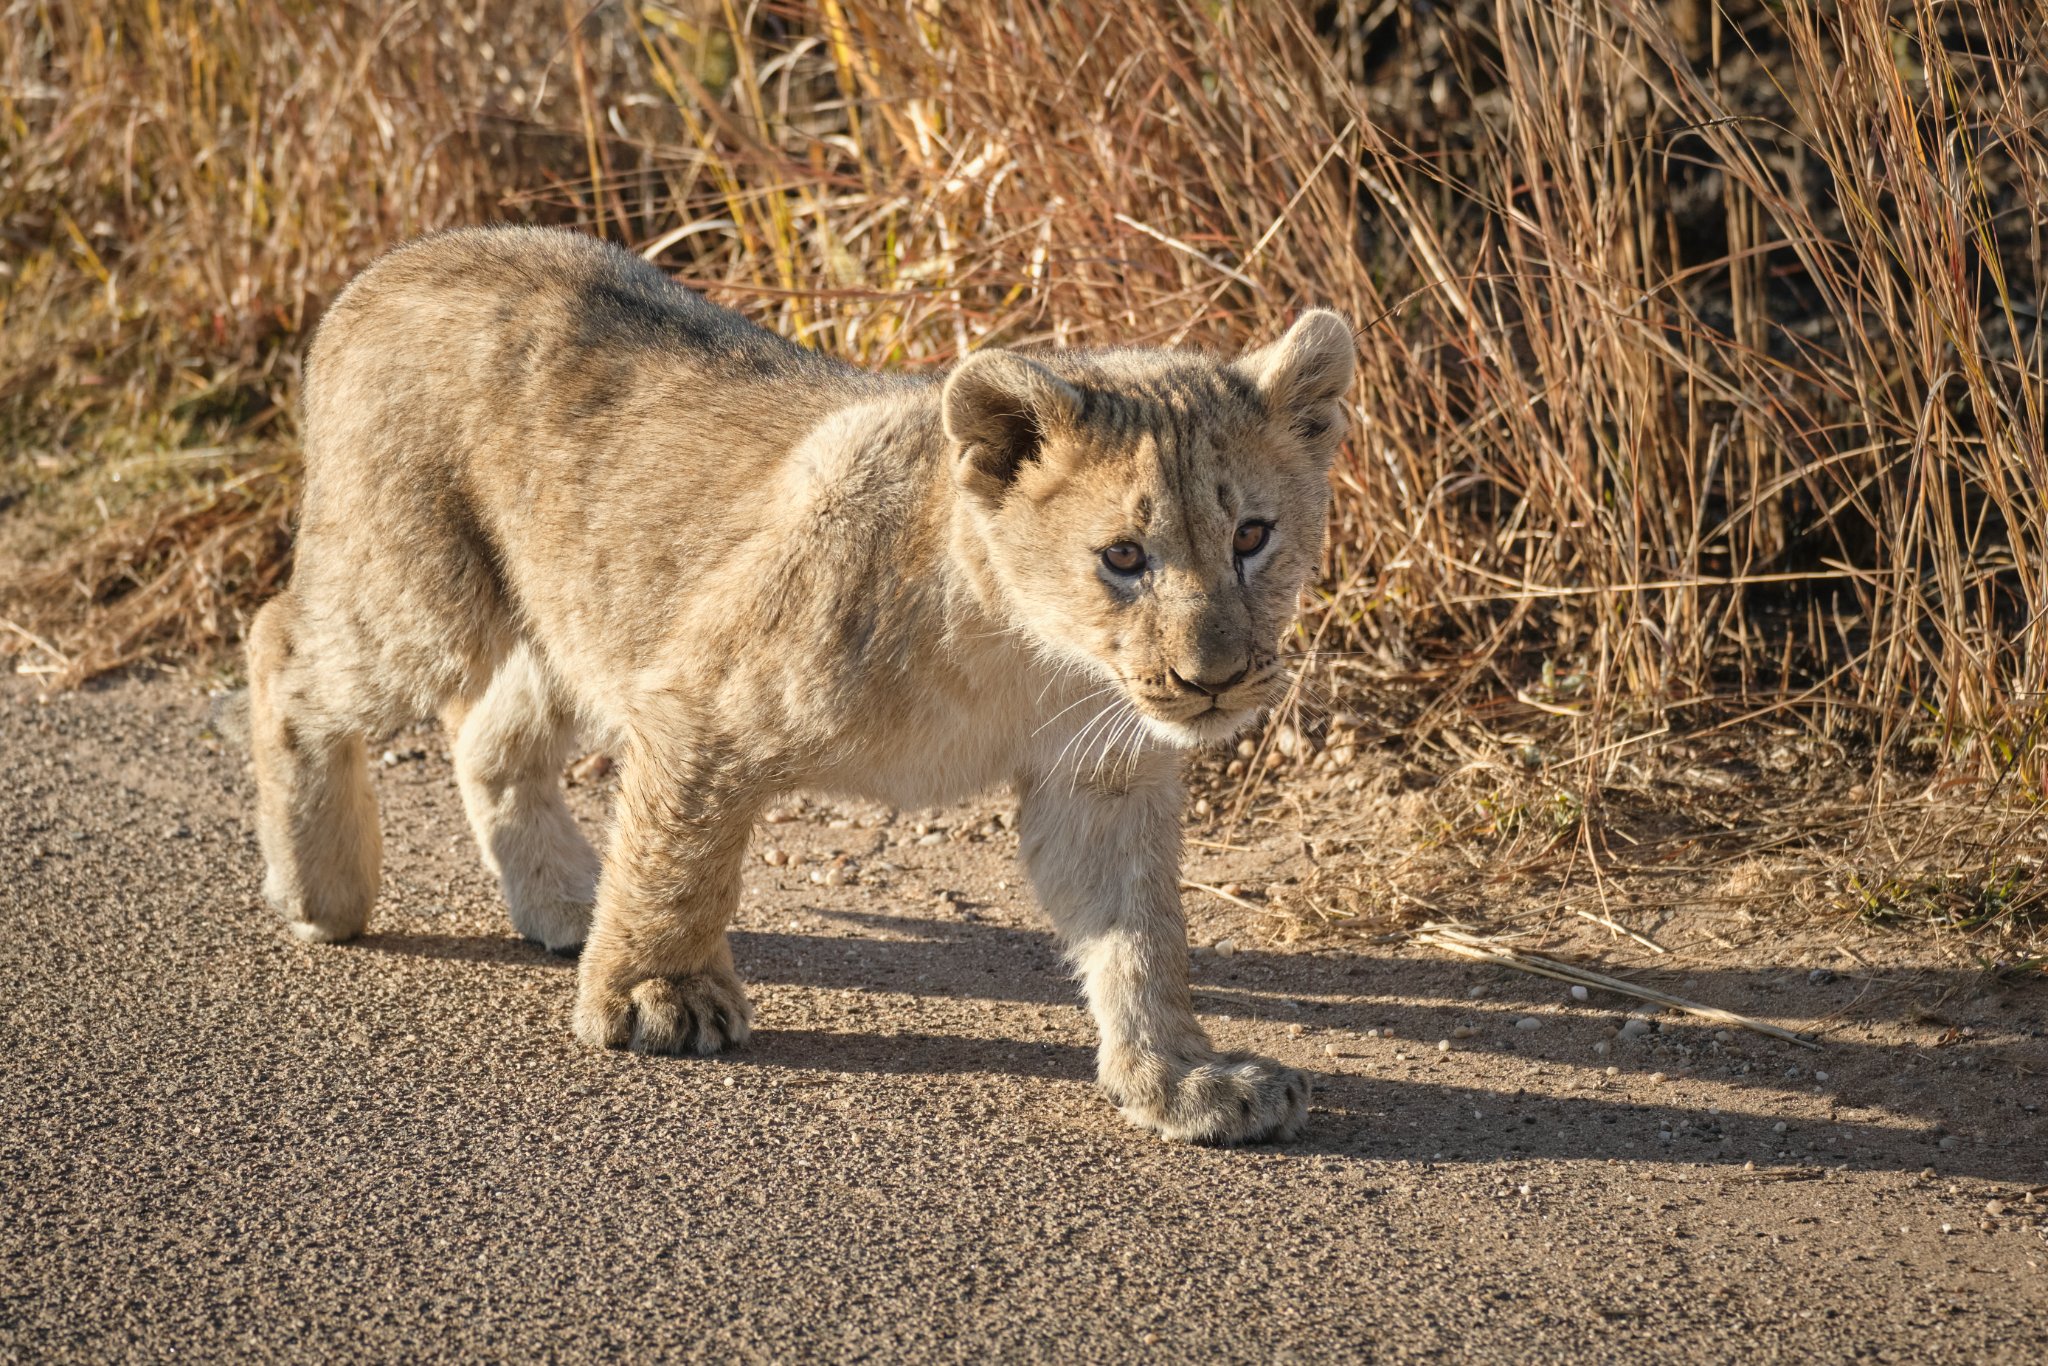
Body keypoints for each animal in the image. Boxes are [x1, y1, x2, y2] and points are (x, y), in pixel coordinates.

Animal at [247, 227, 1354, 1144]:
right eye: (1123, 556)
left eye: (1251, 536)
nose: (1213, 681)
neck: (1027, 656)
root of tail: (384, 269)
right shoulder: (701, 692)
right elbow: (682, 859)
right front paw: (656, 996)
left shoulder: (1100, 779)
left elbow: (1140, 933)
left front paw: (1181, 1078)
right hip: (422, 598)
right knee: (280, 646)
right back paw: (324, 889)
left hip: (575, 612)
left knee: (489, 736)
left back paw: (565, 903)